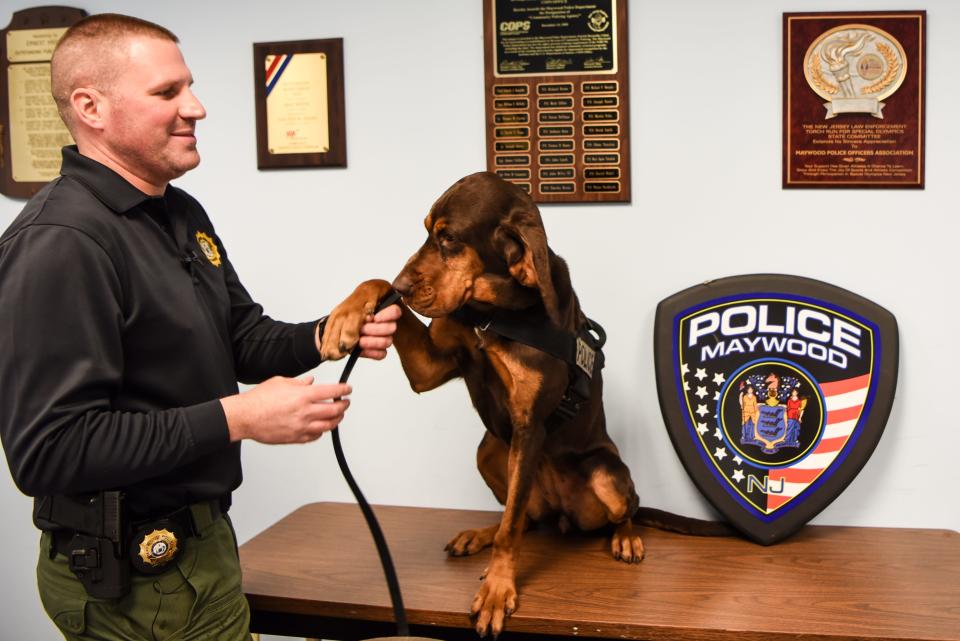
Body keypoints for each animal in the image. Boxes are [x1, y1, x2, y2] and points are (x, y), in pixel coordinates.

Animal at [322, 172, 644, 636]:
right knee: (522, 514)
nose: (404, 286)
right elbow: (376, 282)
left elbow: (511, 532)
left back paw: (627, 537)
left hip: (604, 474)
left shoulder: (529, 425)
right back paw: (478, 535)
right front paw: (345, 319)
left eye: (449, 238)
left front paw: (497, 589)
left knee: (618, 509)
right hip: (490, 450)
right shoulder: (430, 367)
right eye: (426, 230)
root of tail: (561, 513)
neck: (494, 314)